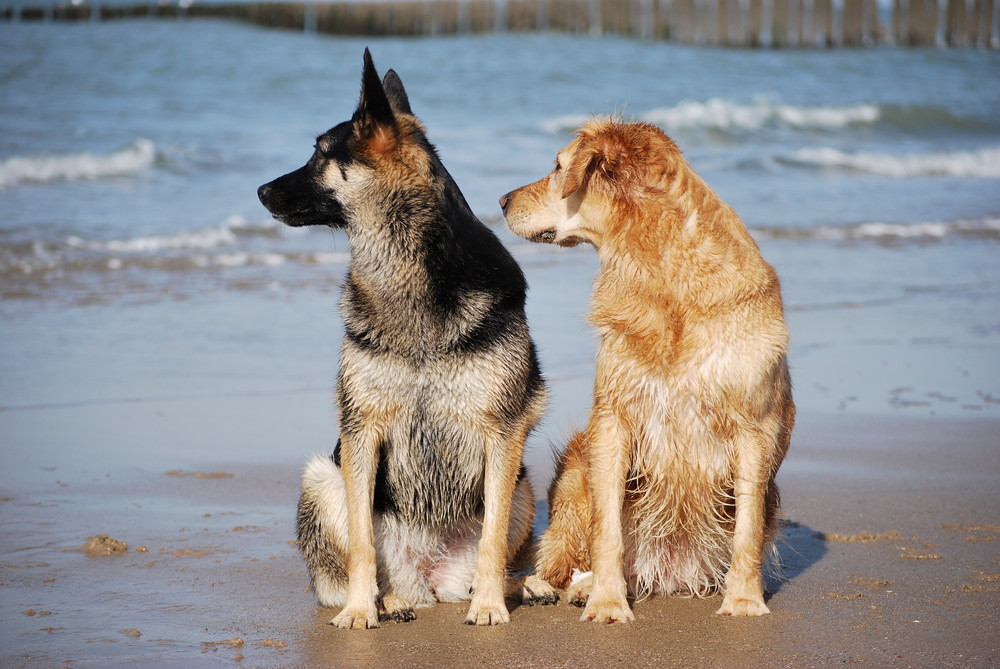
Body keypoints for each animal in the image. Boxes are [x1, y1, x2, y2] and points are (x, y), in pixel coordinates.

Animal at [256, 51, 548, 628]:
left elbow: (491, 538)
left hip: (523, 481)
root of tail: (428, 577)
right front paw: (360, 611)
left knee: (494, 554)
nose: (258, 191)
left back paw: (518, 586)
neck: (407, 276)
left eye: (319, 154)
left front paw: (489, 606)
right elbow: (363, 544)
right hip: (323, 477)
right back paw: (385, 601)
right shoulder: (360, 433)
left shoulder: (503, 435)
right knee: (355, 569)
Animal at [500, 118, 796, 620]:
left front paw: (743, 599)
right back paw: (571, 586)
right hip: (575, 472)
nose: (501, 201)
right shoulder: (613, 418)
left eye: (557, 166)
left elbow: (749, 526)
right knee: (561, 561)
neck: (663, 272)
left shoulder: (754, 427)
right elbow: (607, 530)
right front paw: (606, 601)